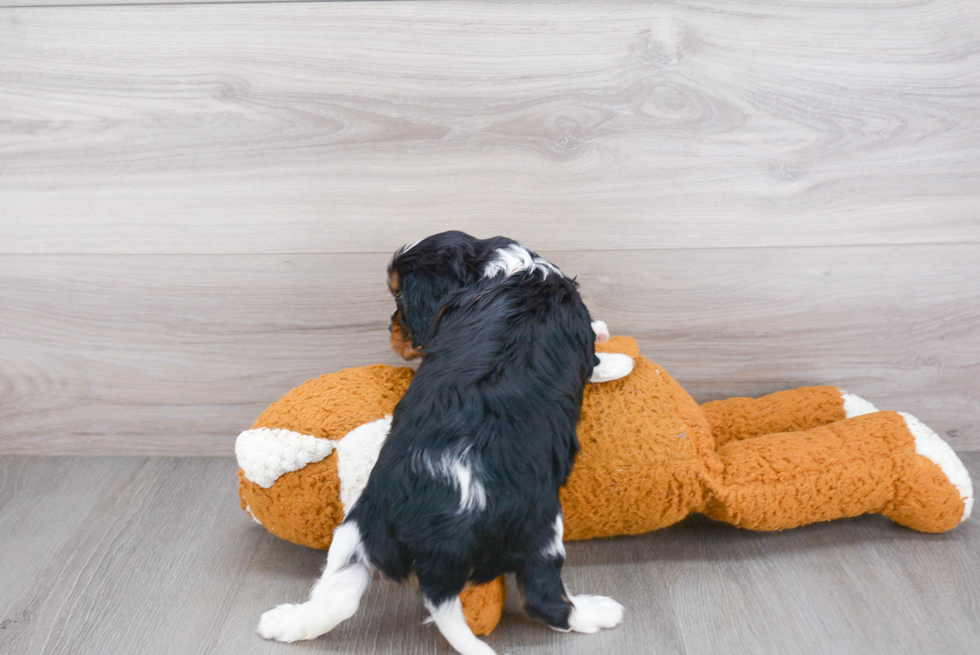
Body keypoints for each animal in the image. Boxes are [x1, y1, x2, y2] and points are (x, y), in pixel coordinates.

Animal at [260, 232, 624, 655]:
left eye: (399, 300)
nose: (390, 327)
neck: (499, 272)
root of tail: (441, 546)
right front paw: (605, 334)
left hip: (361, 527)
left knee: (338, 596)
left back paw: (284, 623)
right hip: (540, 528)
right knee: (543, 599)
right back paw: (599, 613)